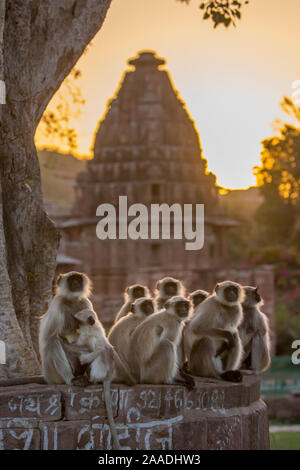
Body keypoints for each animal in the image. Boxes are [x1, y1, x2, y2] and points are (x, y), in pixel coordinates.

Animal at [73, 308, 135, 452]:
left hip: (98, 371)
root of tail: (108, 375)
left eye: (78, 322)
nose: (76, 328)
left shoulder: (87, 338)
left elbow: (85, 356)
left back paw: (88, 380)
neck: (93, 328)